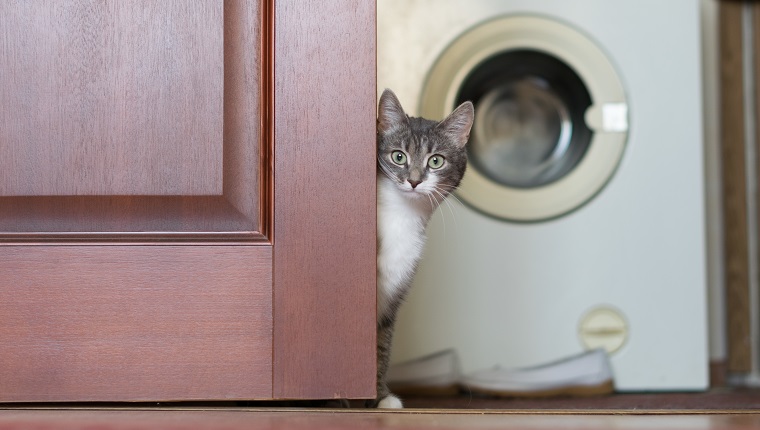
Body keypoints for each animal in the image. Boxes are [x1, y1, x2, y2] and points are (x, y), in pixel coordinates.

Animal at [370, 89, 476, 408]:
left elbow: (381, 346)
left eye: (436, 161)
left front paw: (380, 398)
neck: (401, 215)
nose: (414, 180)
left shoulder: (392, 297)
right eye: (398, 156)